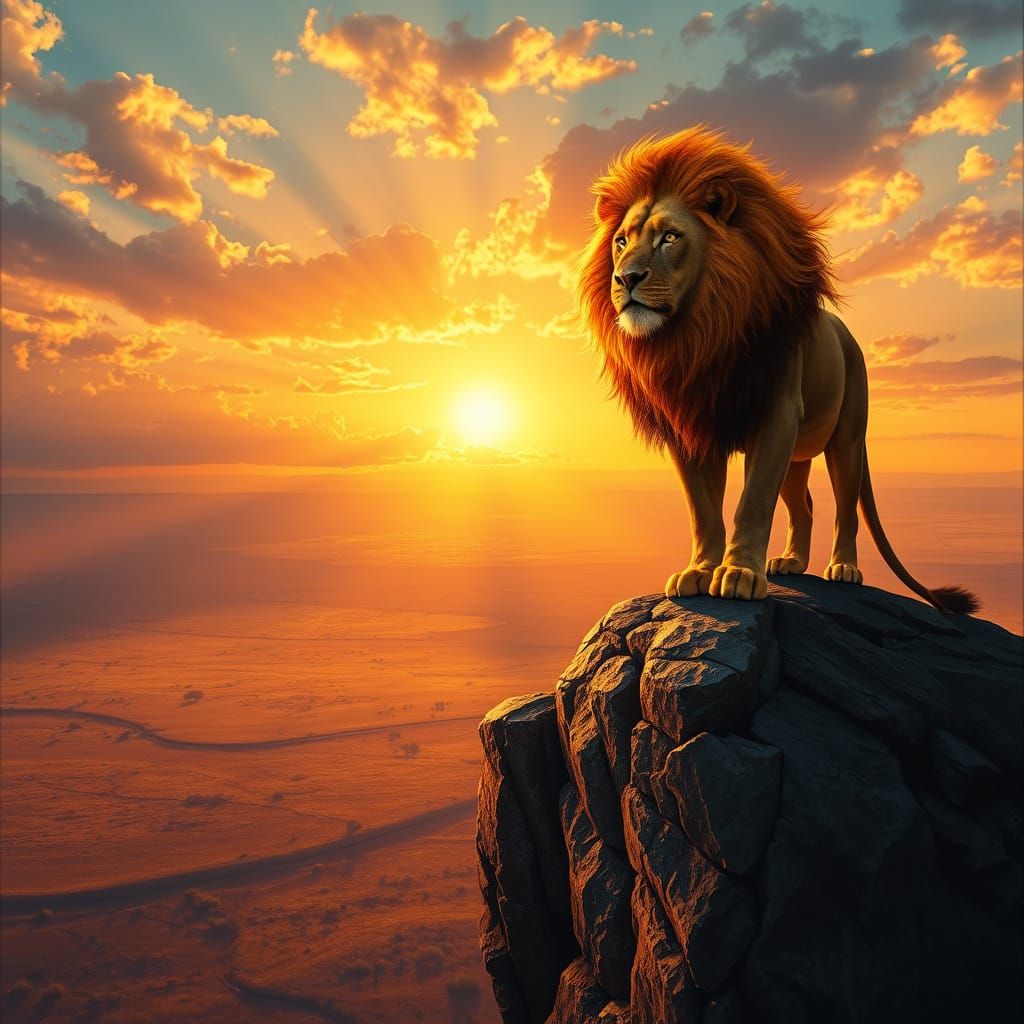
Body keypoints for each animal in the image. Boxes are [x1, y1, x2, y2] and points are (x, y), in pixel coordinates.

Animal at [576, 126, 978, 615]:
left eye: (669, 237)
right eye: (621, 241)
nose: (625, 278)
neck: (699, 335)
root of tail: (847, 335)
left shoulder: (775, 415)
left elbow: (751, 503)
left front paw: (740, 575)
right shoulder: (690, 424)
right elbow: (703, 511)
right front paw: (700, 571)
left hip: (846, 439)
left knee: (845, 508)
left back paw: (843, 568)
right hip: (797, 456)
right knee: (804, 505)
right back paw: (790, 562)